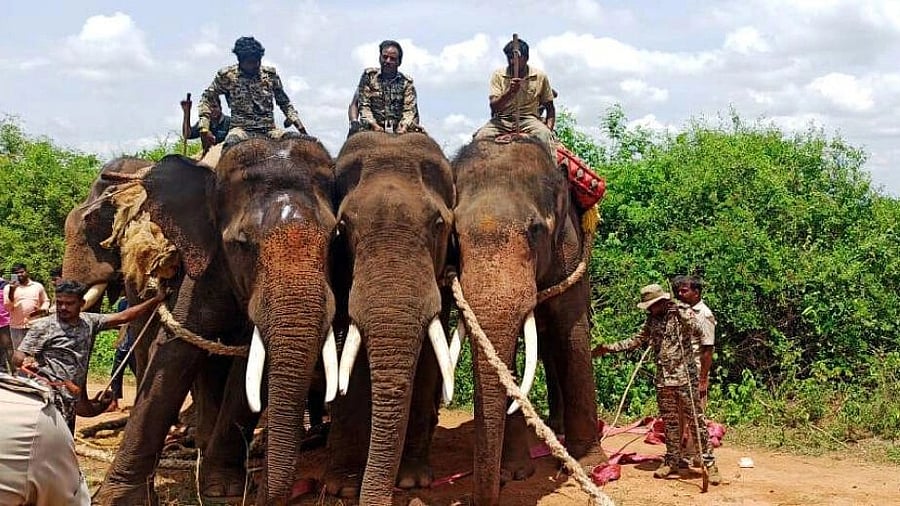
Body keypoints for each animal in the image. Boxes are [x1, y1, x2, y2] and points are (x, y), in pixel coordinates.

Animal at [64, 137, 338, 504]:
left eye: (335, 237)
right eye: (241, 244)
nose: (104, 398)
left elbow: (246, 366)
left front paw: (222, 490)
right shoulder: (201, 264)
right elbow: (174, 353)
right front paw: (115, 499)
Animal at [321, 131, 456, 505]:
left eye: (439, 224)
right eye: (343, 226)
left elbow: (428, 359)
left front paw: (412, 482)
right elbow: (344, 354)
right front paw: (343, 487)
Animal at [452, 138, 603, 505]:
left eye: (535, 231)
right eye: (454, 235)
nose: (479, 498)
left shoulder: (569, 250)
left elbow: (573, 333)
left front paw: (589, 465)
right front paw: (515, 473)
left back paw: (558, 431)